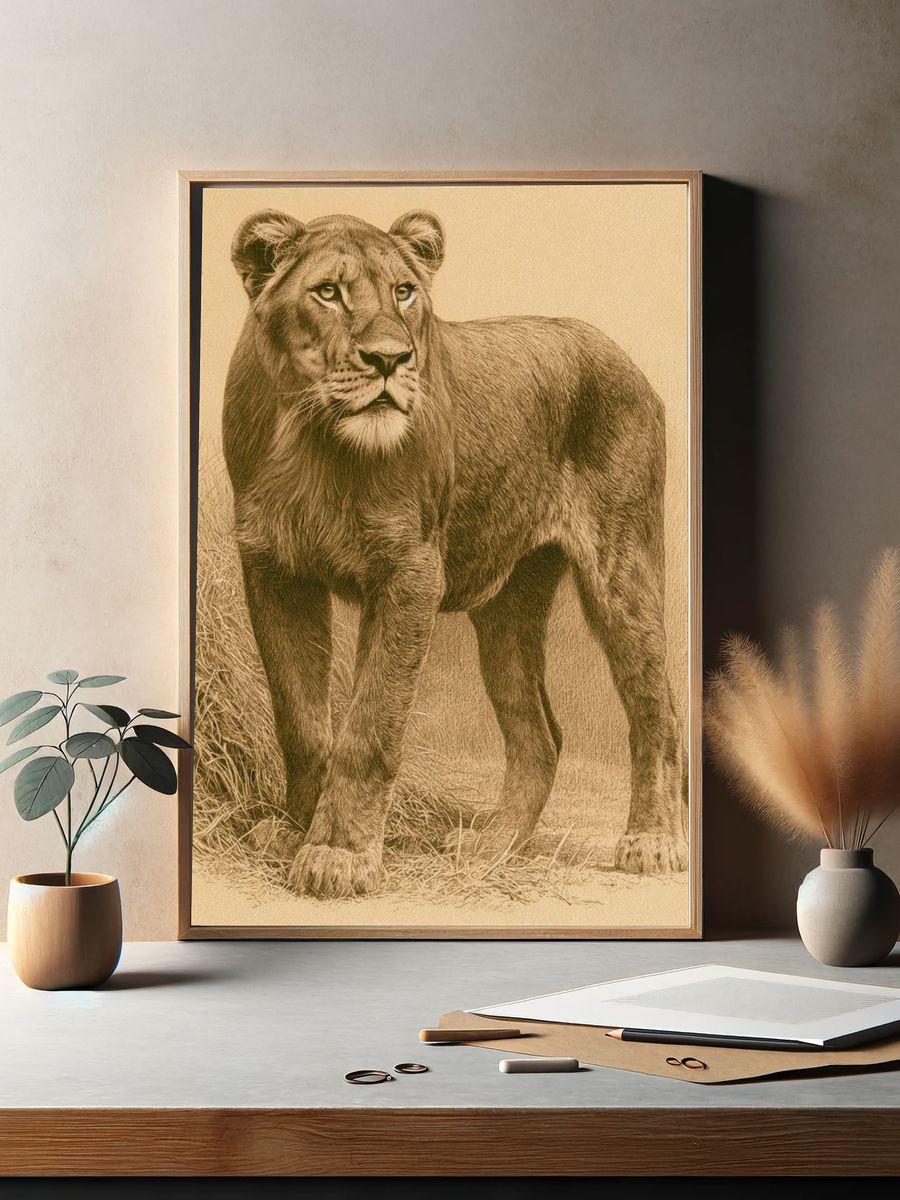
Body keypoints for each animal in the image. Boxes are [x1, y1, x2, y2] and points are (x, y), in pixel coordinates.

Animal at [222, 206, 688, 899]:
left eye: (404, 292)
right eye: (328, 292)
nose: (390, 359)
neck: (312, 440)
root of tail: (617, 352)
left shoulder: (409, 573)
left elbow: (370, 726)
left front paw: (338, 854)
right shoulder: (275, 570)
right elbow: (301, 720)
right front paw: (292, 831)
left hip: (621, 566)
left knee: (655, 709)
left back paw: (652, 842)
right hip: (508, 606)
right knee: (539, 735)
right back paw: (490, 849)